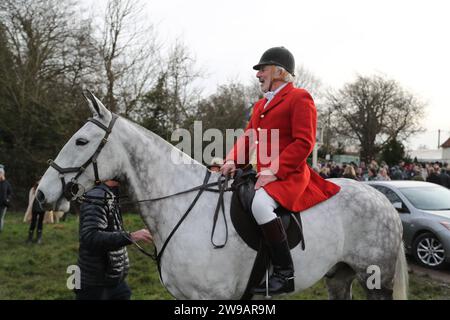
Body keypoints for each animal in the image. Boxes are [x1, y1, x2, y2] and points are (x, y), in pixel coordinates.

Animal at [37, 92, 408, 300]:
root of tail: (382, 199)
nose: (41, 194)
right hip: (339, 276)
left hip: (376, 279)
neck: (181, 208)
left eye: (81, 141)